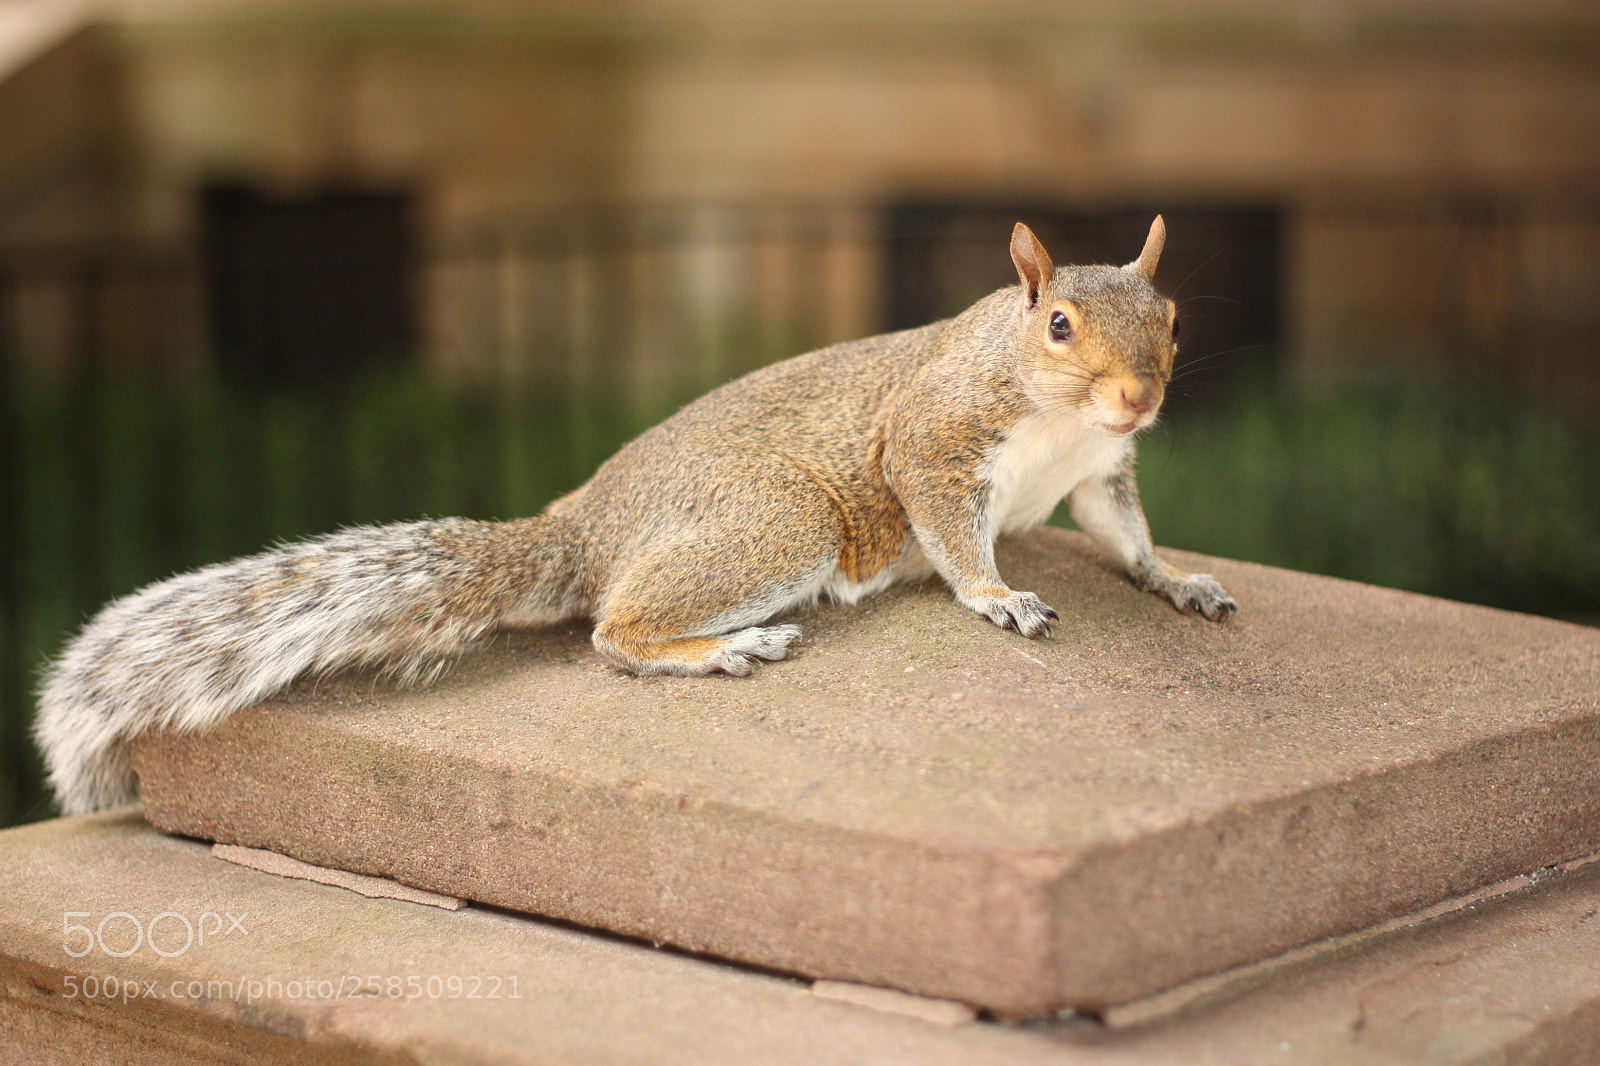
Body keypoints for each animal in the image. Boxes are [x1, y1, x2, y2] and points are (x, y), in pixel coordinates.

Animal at [35, 218, 1236, 815]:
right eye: (1060, 325)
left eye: (1175, 318)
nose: (1142, 397)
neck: (1054, 418)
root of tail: (586, 526)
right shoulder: (931, 441)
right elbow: (950, 531)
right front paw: (997, 594)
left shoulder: (1100, 472)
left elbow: (1125, 537)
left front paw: (1179, 579)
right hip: (779, 522)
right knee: (613, 633)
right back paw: (722, 648)